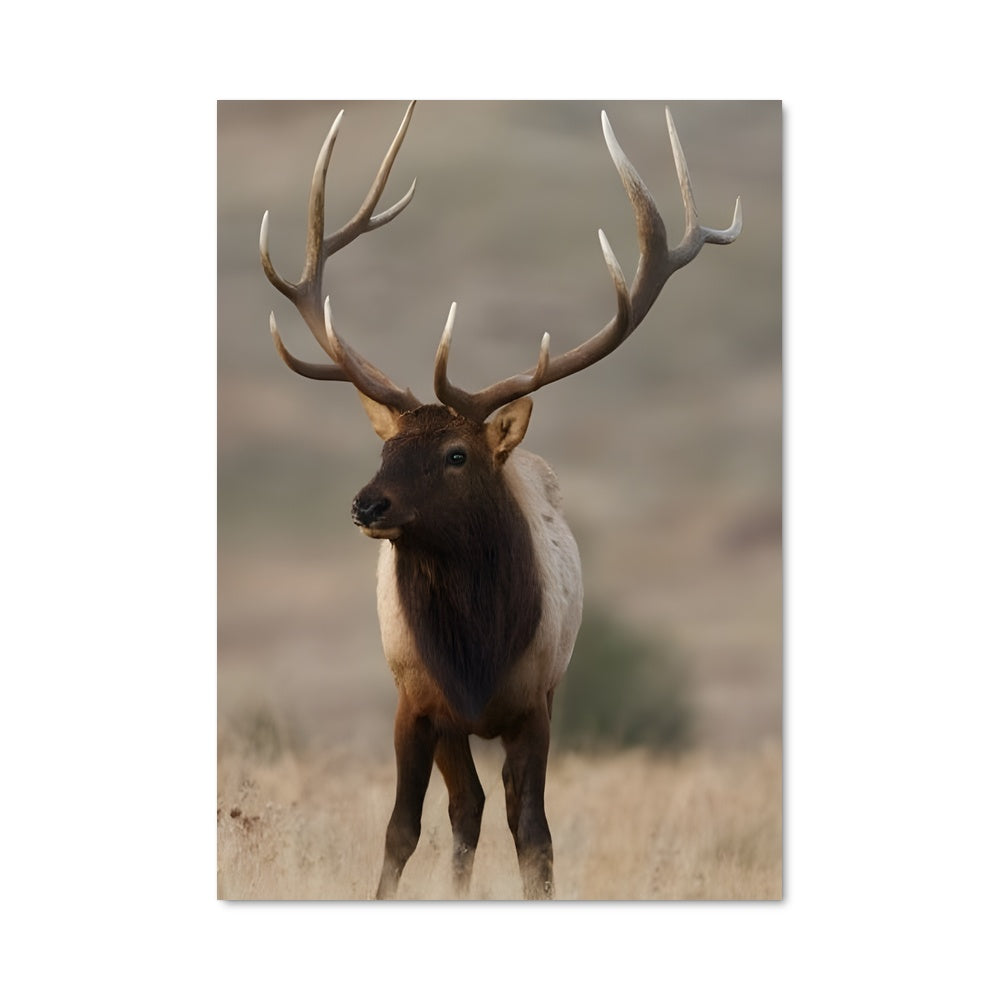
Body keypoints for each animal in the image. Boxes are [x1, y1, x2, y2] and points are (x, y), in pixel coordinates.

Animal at [259, 101, 741, 900]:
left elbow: (534, 832)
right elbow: (403, 828)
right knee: (465, 811)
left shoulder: (536, 700)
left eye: (457, 455)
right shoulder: (416, 700)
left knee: (489, 810)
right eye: (385, 449)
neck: (477, 653)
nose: (366, 506)